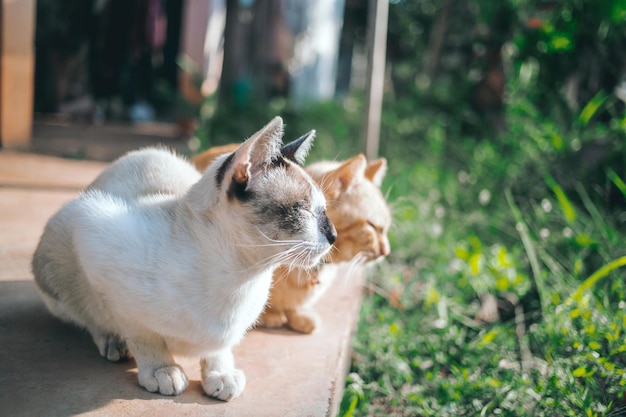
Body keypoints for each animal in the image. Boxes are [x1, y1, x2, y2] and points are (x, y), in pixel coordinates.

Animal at [33, 116, 336, 400]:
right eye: (302, 210)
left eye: (324, 211)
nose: (333, 235)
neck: (240, 279)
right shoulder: (96, 246)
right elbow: (142, 335)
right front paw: (162, 370)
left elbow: (219, 349)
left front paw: (220, 374)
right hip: (60, 246)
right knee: (85, 312)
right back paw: (114, 344)